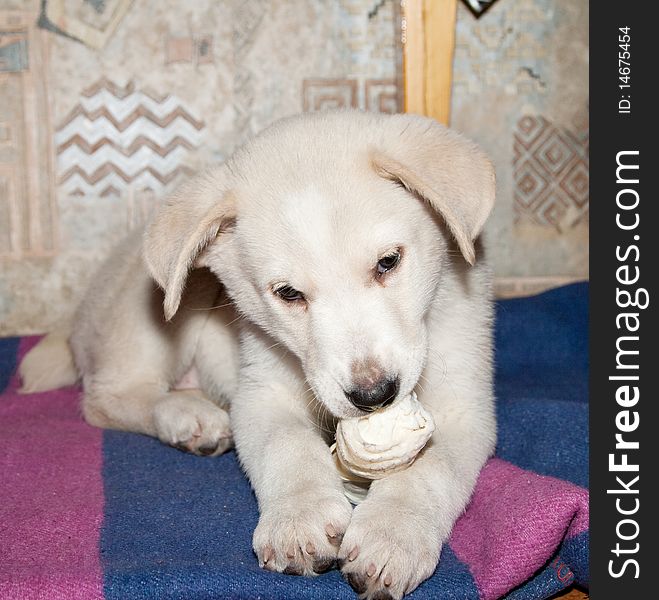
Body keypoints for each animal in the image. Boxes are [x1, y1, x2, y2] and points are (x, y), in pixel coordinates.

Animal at [19, 112, 496, 600]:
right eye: (288, 293)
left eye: (388, 262)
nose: (374, 395)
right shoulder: (261, 391)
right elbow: (287, 445)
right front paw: (299, 520)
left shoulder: (463, 405)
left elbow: (428, 471)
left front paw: (392, 534)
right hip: (155, 309)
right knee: (106, 398)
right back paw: (190, 417)